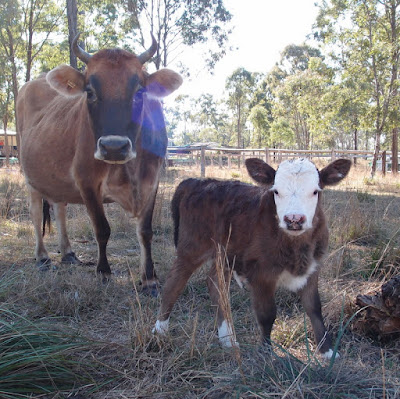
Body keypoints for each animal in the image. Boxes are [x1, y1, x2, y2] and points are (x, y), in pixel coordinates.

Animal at [17, 34, 182, 296]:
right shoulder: (86, 180)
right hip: (30, 176)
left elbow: (145, 231)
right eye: (90, 92)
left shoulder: (152, 180)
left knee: (60, 209)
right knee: (35, 213)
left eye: (139, 91)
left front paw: (150, 279)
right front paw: (103, 272)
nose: (114, 146)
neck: (129, 168)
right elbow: (102, 229)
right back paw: (43, 257)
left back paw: (68, 253)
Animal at [155, 158, 352, 360]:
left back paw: (228, 339)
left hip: (225, 254)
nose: (294, 219)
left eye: (315, 191)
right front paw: (266, 353)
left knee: (215, 284)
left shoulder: (313, 268)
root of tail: (197, 181)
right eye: (276, 191)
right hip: (192, 247)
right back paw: (160, 331)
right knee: (173, 284)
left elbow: (314, 308)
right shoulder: (261, 274)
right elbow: (267, 314)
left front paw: (328, 351)